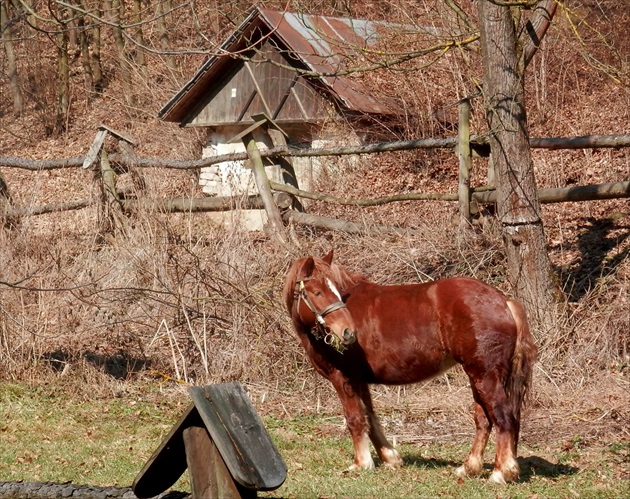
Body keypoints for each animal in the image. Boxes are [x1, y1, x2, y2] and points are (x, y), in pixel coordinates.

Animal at [286, 250, 540, 484]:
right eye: (318, 292)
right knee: (484, 420)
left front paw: (361, 463)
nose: (348, 332)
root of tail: (503, 301)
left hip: (486, 376)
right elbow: (371, 418)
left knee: (503, 417)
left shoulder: (343, 378)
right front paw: (390, 458)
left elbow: (355, 419)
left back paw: (500, 472)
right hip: (478, 376)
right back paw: (469, 468)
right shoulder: (361, 380)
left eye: (333, 291)